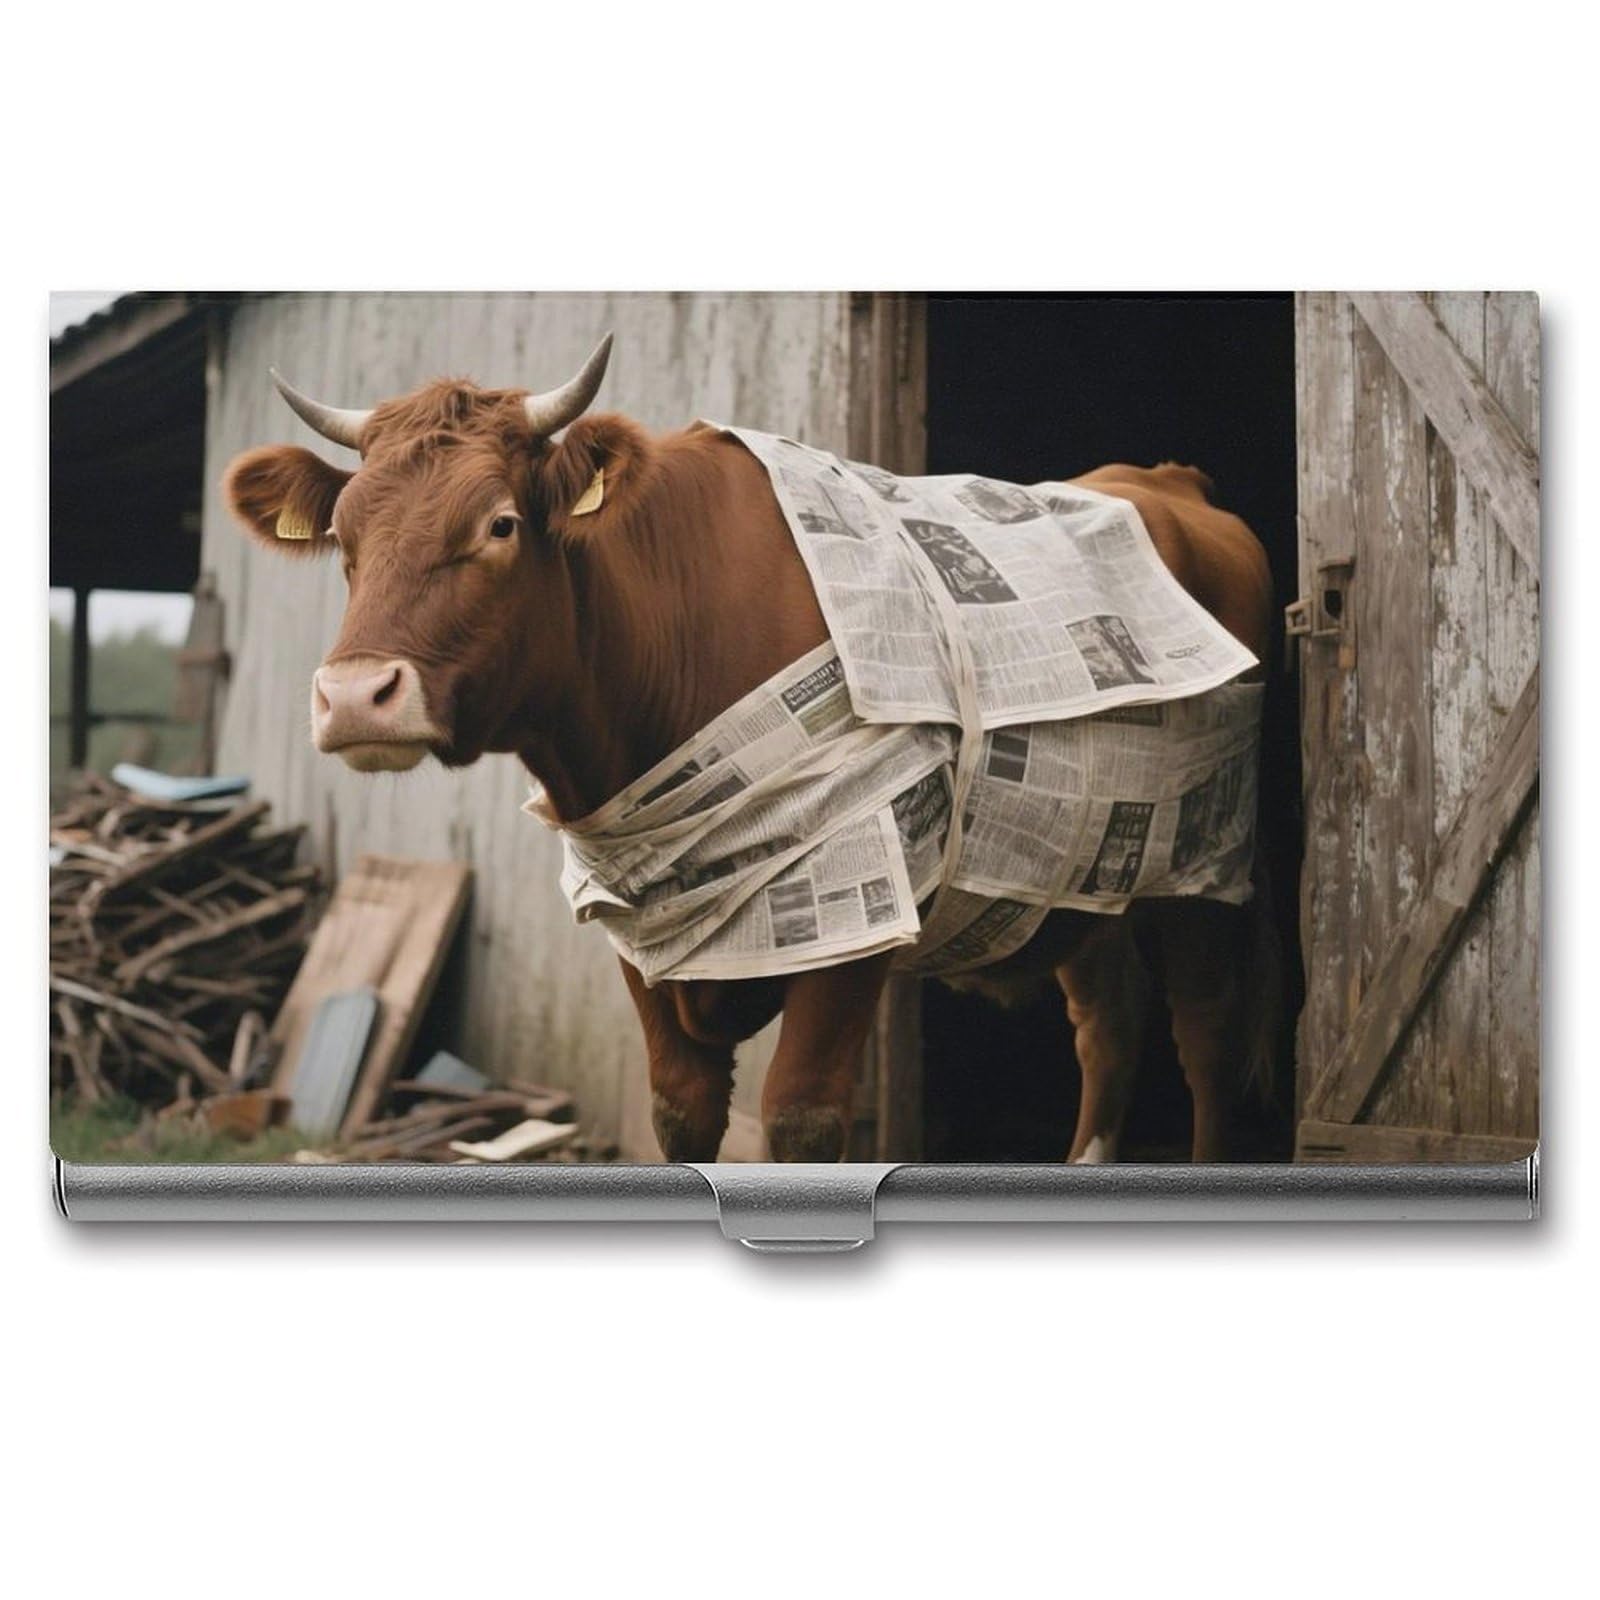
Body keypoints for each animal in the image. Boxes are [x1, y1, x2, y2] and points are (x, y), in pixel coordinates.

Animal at [224, 334, 1279, 1165]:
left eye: (501, 524)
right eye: (345, 539)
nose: (355, 697)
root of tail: (1160, 479)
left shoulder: (859, 893)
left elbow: (803, 1120)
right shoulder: (647, 935)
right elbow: (682, 1115)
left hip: (1206, 871)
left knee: (1207, 1036)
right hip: (1078, 881)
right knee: (1110, 1025)